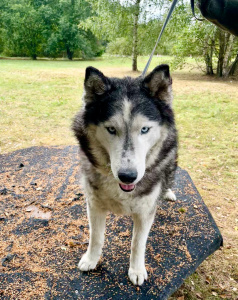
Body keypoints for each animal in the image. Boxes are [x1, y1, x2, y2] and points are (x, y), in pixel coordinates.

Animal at [72, 63, 177, 286]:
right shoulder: (94, 204)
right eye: (111, 129)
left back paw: (167, 192)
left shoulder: (145, 211)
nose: (127, 176)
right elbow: (96, 237)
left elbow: (138, 243)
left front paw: (136, 270)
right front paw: (91, 259)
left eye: (145, 129)